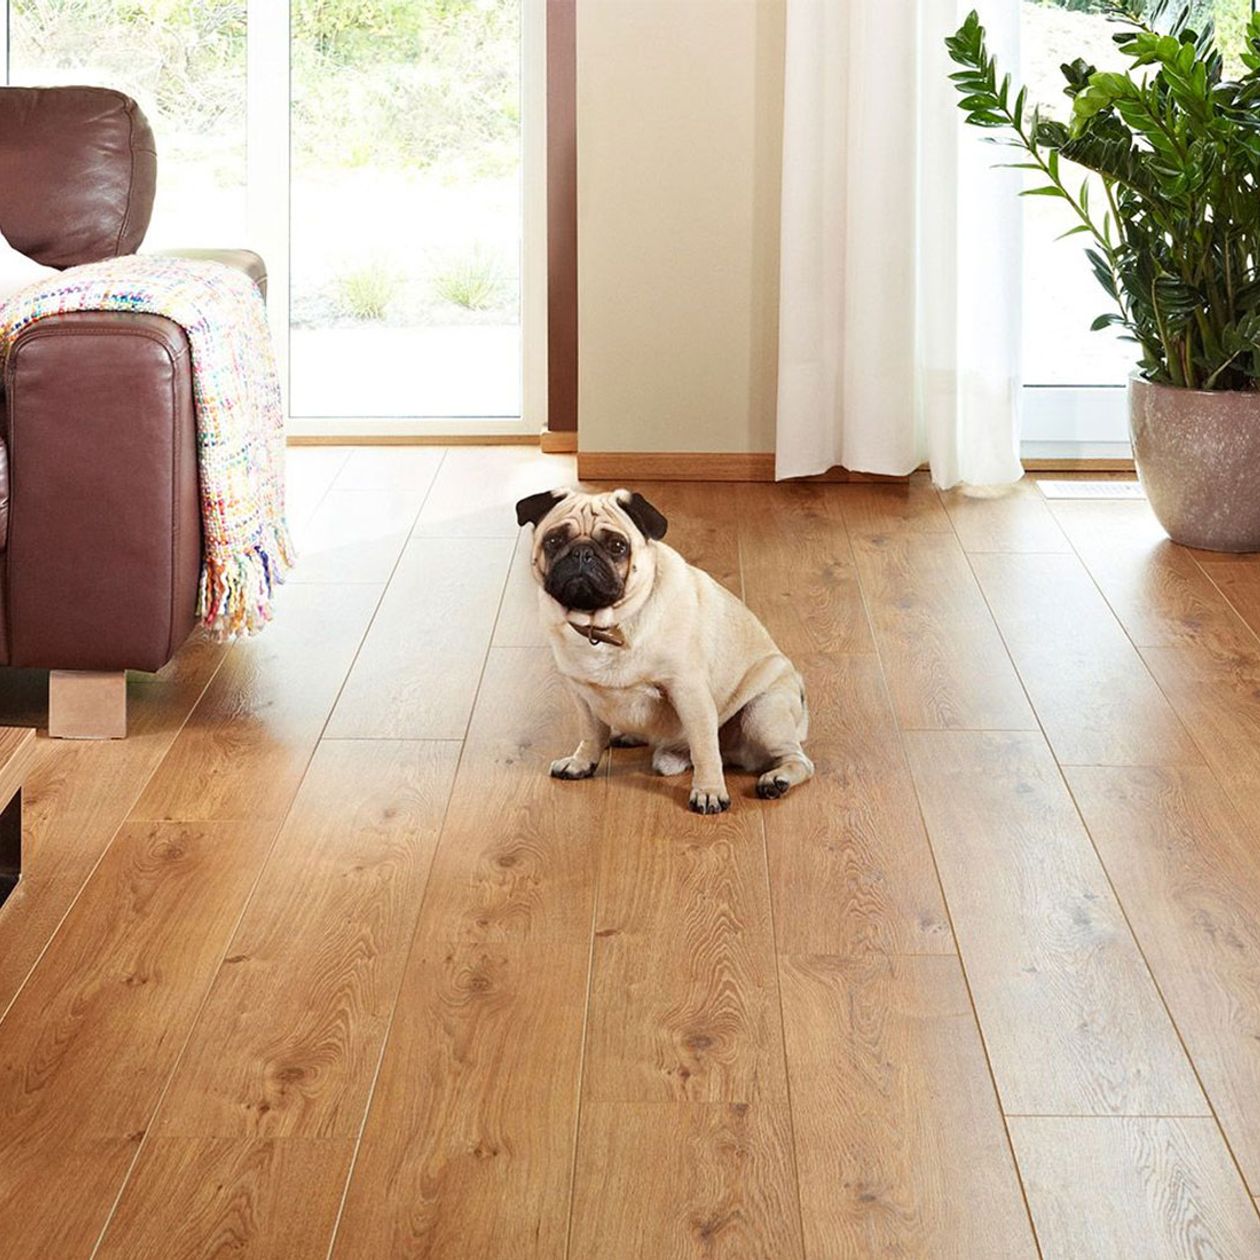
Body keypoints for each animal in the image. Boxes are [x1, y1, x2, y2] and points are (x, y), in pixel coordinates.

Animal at [516, 486, 811, 811]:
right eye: (554, 540)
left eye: (617, 546)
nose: (582, 553)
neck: (604, 627)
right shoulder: (583, 695)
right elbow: (591, 734)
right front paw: (581, 763)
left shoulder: (689, 692)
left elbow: (705, 749)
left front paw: (709, 791)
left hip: (762, 713)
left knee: (797, 760)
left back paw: (777, 780)